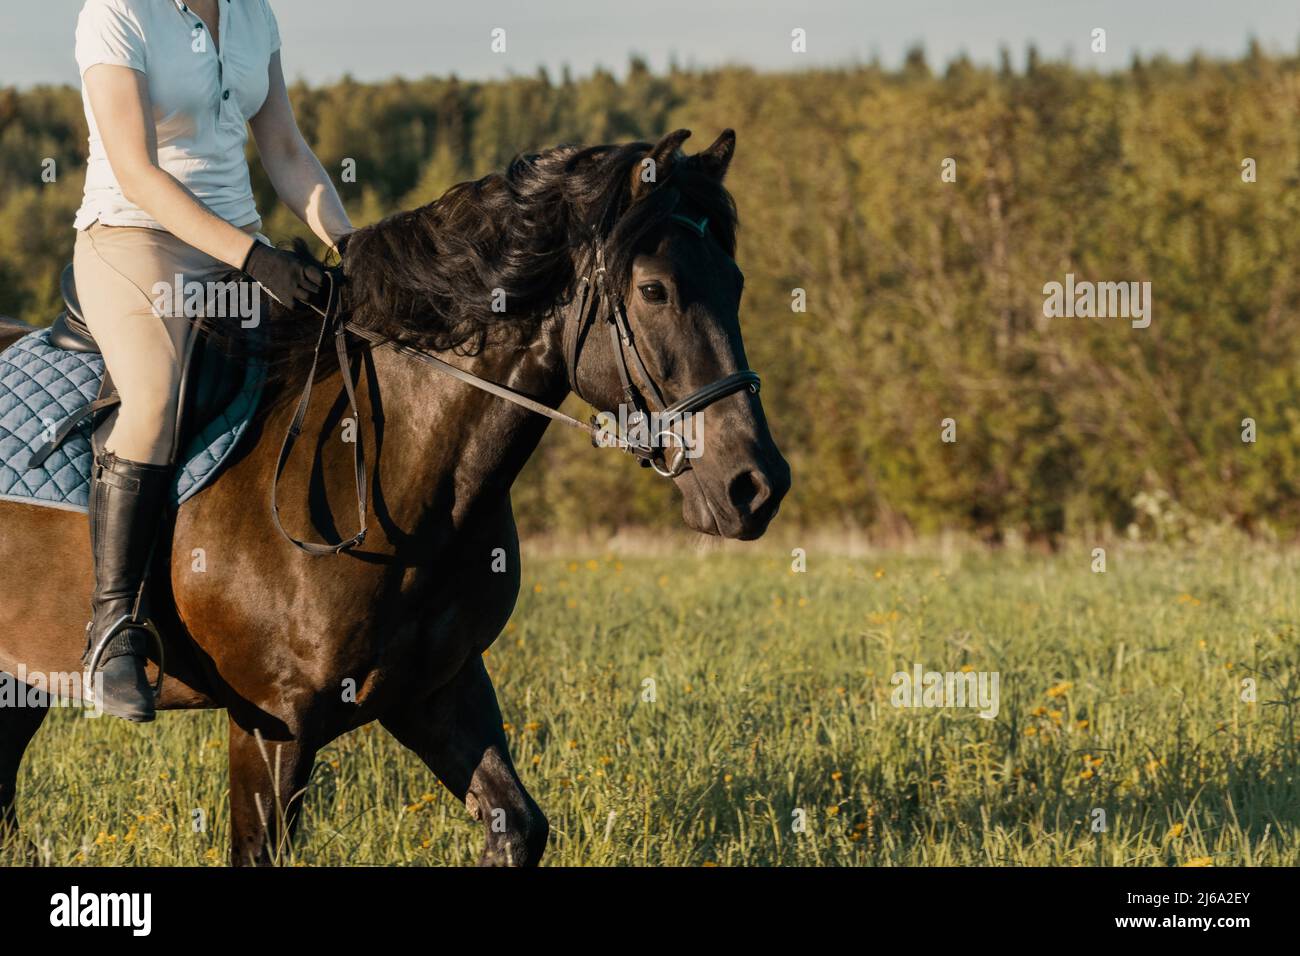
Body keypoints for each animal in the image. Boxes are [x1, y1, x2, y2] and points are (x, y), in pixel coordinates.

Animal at [0, 128, 790, 868]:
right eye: (655, 290)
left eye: (735, 282)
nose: (756, 486)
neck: (397, 476)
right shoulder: (271, 725)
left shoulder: (437, 690)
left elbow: (517, 826)